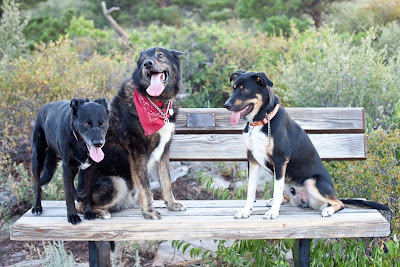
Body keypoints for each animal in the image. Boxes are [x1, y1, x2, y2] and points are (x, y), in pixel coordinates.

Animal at [77, 47, 187, 221]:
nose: (147, 64)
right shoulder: (137, 153)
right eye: (143, 59)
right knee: (81, 206)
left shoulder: (163, 152)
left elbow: (166, 181)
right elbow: (146, 186)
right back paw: (101, 212)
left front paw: (171, 204)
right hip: (118, 183)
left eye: (160, 55)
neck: (156, 103)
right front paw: (149, 211)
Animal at [223, 70, 390, 220]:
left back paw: (328, 210)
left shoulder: (280, 160)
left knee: (339, 203)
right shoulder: (253, 160)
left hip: (311, 182)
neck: (261, 121)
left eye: (245, 90)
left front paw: (273, 213)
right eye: (234, 89)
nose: (226, 105)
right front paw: (246, 211)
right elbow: (251, 191)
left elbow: (276, 190)